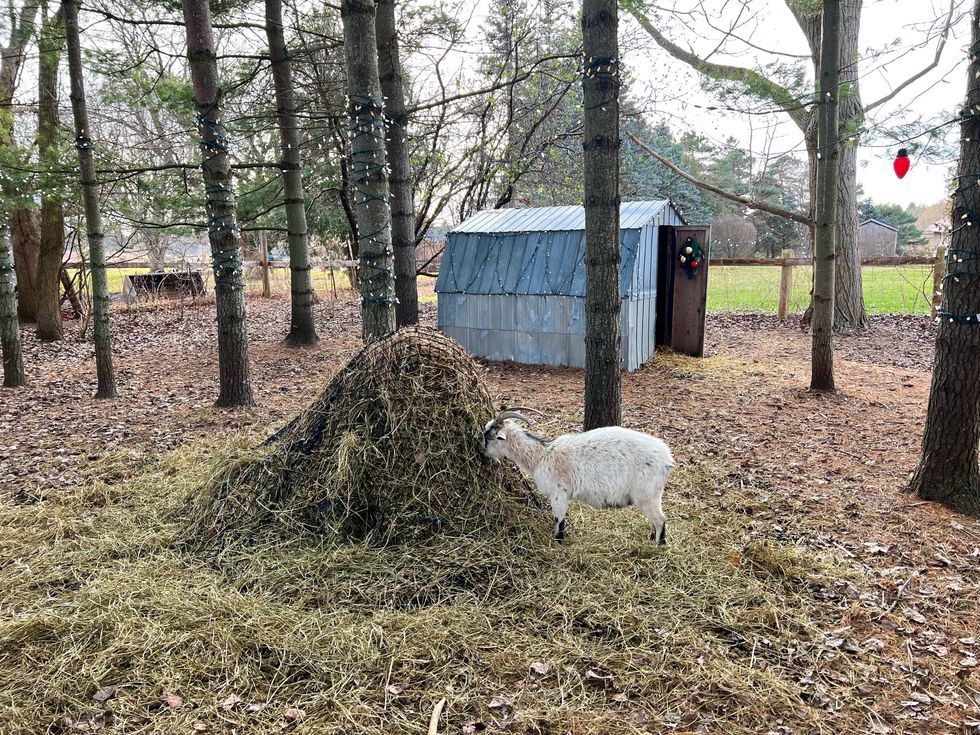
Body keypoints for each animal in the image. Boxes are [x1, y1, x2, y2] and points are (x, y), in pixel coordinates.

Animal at [482, 410, 674, 543]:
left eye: (489, 437)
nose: (481, 452)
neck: (541, 456)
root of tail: (667, 459)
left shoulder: (559, 492)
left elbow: (559, 519)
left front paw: (558, 541)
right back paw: (651, 537)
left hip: (647, 494)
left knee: (661, 520)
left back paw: (658, 544)